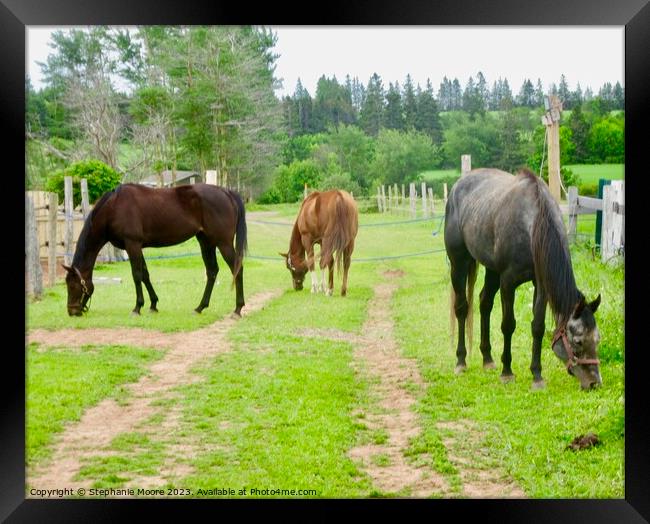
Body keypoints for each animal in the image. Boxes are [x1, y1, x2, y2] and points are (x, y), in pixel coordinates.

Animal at [64, 182, 246, 318]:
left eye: (72, 286)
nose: (72, 311)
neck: (114, 207)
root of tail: (226, 192)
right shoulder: (137, 247)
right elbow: (145, 274)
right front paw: (153, 304)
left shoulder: (132, 245)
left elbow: (137, 275)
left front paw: (137, 307)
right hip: (206, 242)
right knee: (212, 271)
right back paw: (200, 307)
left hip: (223, 243)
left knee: (237, 269)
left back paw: (238, 309)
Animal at [442, 168, 600, 388]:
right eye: (578, 341)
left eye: (597, 339)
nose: (595, 383)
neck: (532, 226)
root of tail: (458, 185)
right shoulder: (508, 282)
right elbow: (508, 325)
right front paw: (507, 372)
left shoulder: (541, 285)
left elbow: (538, 327)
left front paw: (537, 375)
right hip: (459, 264)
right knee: (462, 308)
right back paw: (461, 361)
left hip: (492, 270)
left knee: (485, 303)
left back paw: (487, 359)